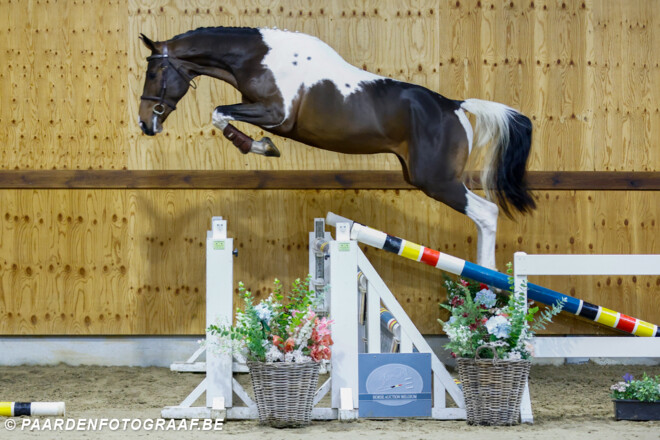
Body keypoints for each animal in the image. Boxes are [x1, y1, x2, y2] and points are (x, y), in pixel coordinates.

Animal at [138, 26, 535, 270]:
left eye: (154, 74)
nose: (145, 124)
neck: (259, 57)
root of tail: (454, 106)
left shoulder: (275, 113)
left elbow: (219, 112)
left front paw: (262, 147)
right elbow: (220, 114)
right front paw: (262, 146)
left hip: (436, 180)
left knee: (487, 212)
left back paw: (488, 285)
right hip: (425, 176)